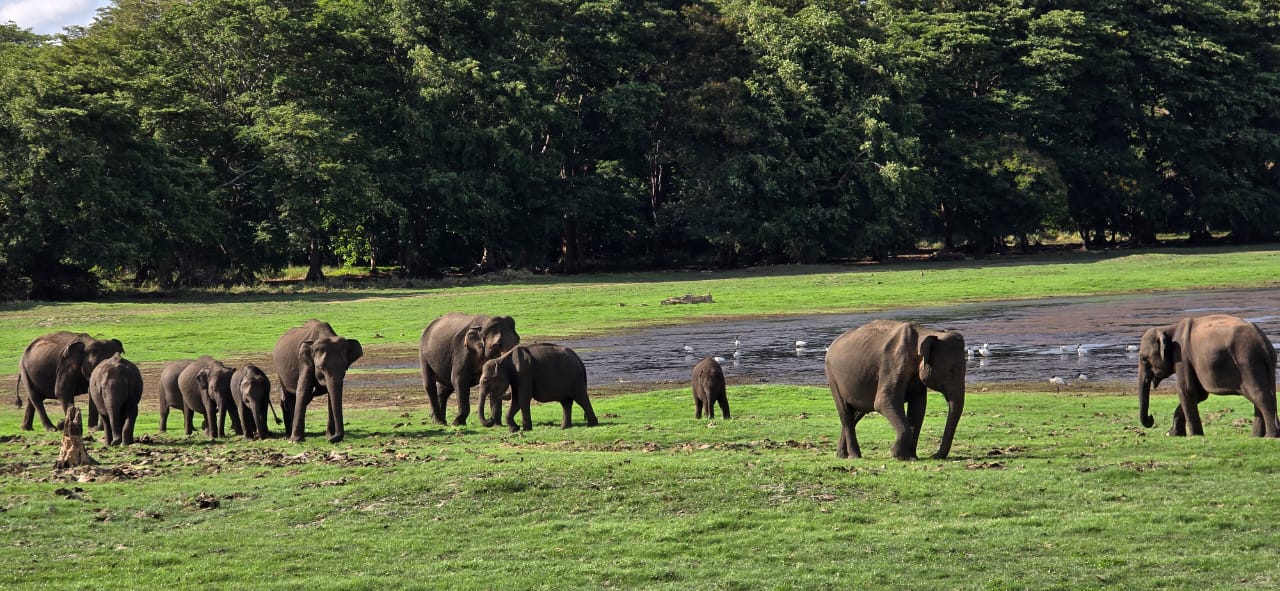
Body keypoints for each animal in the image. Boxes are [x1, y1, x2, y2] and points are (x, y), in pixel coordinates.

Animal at [825, 320, 966, 460]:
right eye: (951, 371)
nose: (933, 456)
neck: (926, 333)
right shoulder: (894, 363)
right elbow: (883, 402)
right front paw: (897, 455)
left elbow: (918, 408)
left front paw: (912, 457)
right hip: (833, 378)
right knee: (846, 414)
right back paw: (854, 456)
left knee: (857, 413)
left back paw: (841, 455)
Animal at [1137, 314, 1278, 437]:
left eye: (1143, 358)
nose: (1151, 418)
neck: (1169, 328)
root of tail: (1264, 343)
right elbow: (1199, 394)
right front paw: (1173, 434)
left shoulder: (1182, 357)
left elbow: (1187, 391)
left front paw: (1194, 436)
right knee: (1261, 396)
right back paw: (1256, 437)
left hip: (1248, 362)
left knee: (1259, 395)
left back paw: (1270, 436)